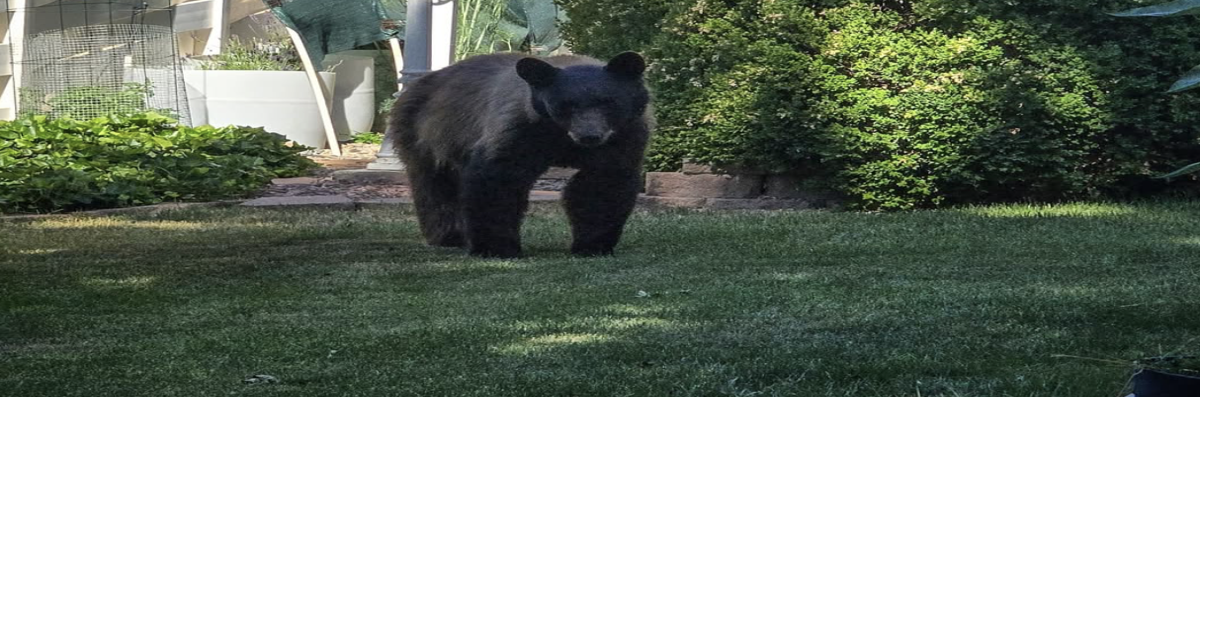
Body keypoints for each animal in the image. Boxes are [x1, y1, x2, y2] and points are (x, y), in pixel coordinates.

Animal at [389, 52, 652, 258]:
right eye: (566, 104)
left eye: (608, 102)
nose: (589, 136)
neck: (559, 134)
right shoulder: (518, 128)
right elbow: (499, 178)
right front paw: (495, 248)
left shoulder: (623, 135)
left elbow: (602, 184)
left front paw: (592, 245)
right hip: (427, 136)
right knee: (435, 186)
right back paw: (449, 235)